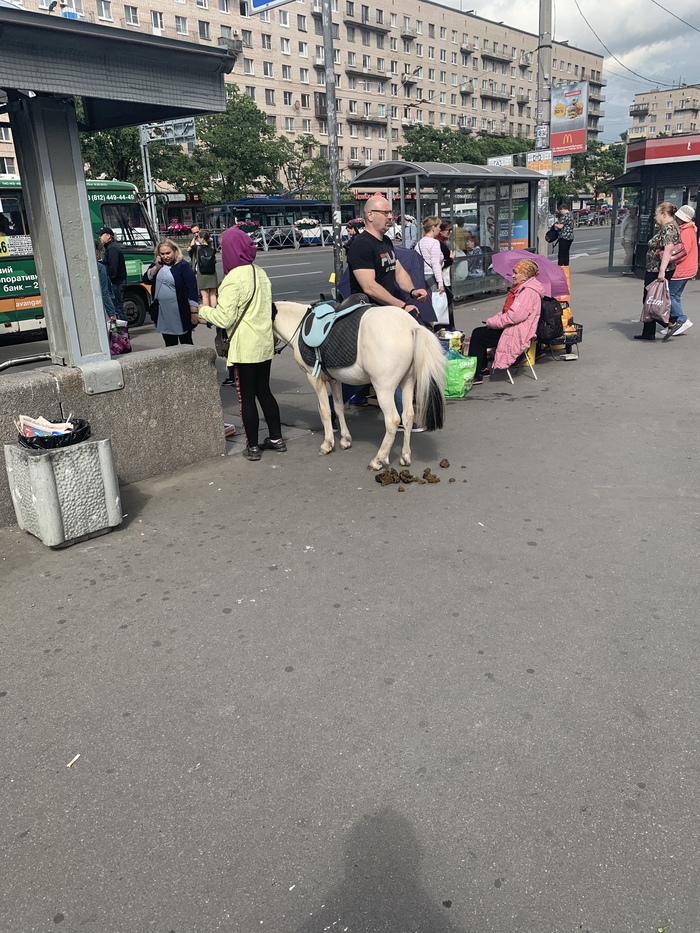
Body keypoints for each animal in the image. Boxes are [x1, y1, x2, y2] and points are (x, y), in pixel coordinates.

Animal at [270, 300, 446, 470]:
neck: (299, 324)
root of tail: (410, 326)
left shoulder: (315, 379)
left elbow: (325, 410)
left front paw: (327, 444)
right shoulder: (334, 380)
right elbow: (339, 407)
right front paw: (345, 440)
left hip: (383, 388)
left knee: (393, 420)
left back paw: (378, 460)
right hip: (407, 382)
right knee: (408, 415)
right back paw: (405, 456)